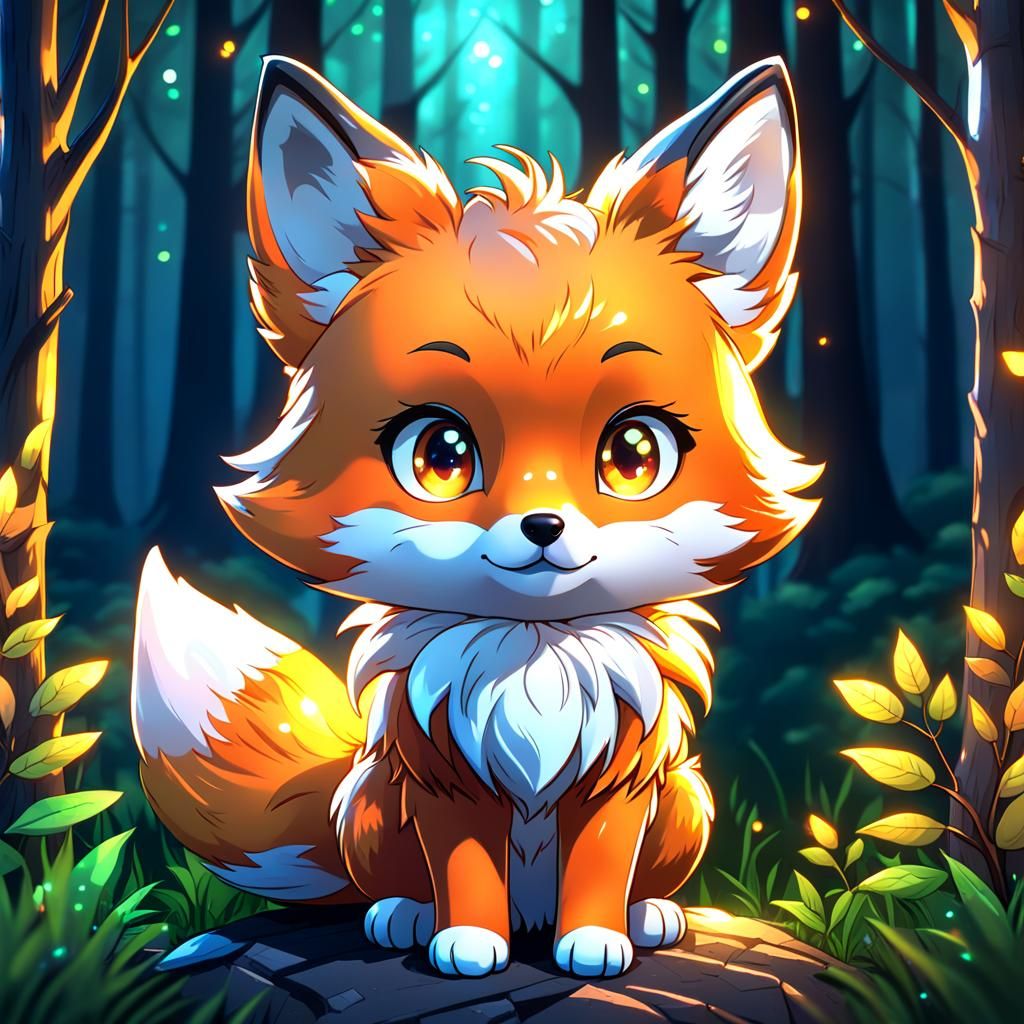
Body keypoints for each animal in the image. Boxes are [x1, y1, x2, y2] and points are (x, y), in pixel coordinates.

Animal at [130, 54, 819, 979]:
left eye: (634, 453)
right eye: (441, 453)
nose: (543, 527)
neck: (534, 656)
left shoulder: (624, 774)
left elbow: (602, 861)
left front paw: (595, 938)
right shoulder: (439, 777)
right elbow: (461, 867)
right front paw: (467, 940)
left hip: (686, 799)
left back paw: (650, 917)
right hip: (371, 801)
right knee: (388, 882)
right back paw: (402, 916)